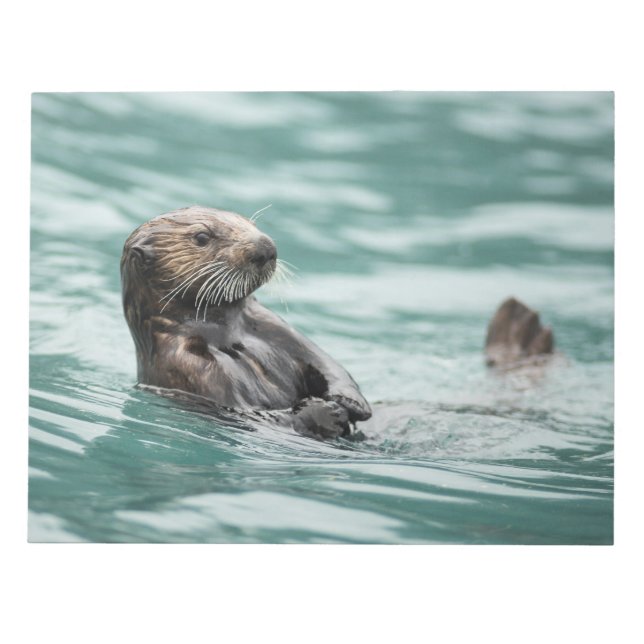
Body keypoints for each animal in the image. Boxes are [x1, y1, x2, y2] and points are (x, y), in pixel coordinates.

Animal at [120, 205, 372, 440]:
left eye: (250, 223)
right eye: (201, 237)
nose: (266, 247)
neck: (226, 335)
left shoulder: (273, 326)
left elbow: (325, 362)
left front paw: (350, 401)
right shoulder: (189, 367)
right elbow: (255, 416)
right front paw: (326, 412)